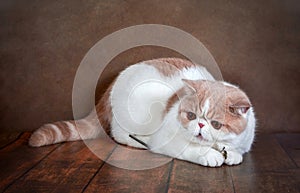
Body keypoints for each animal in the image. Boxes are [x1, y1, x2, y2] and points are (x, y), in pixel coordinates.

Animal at [29, 58, 255, 167]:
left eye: (216, 124)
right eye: (191, 116)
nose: (200, 125)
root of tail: (111, 85)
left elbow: (235, 151)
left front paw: (231, 154)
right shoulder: (166, 140)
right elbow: (192, 149)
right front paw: (209, 155)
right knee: (121, 135)